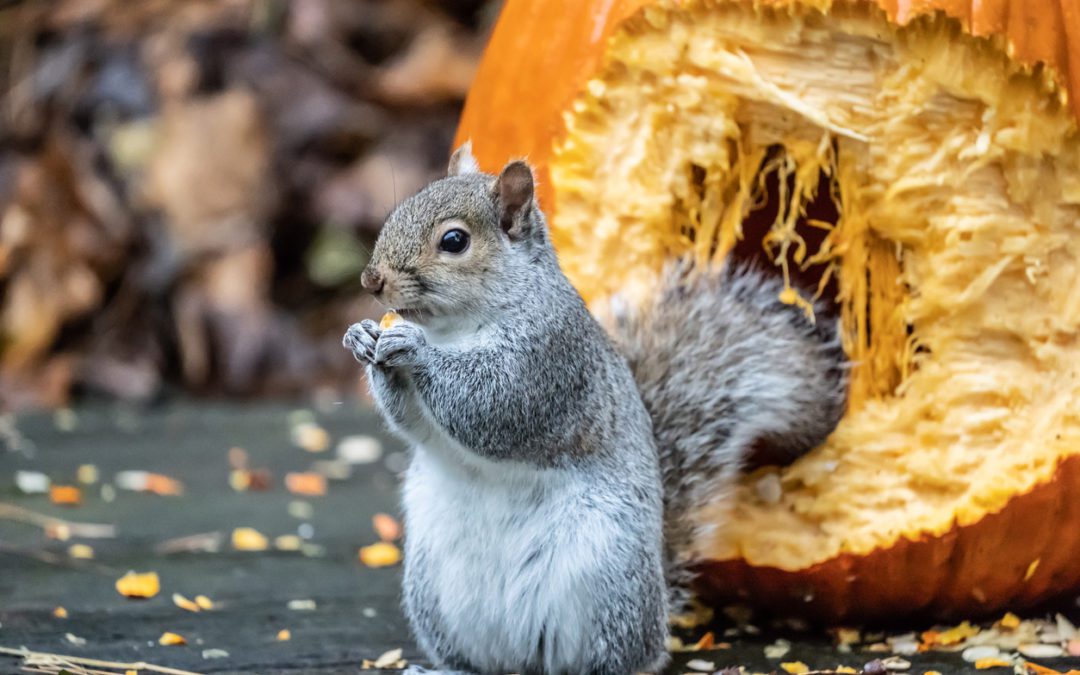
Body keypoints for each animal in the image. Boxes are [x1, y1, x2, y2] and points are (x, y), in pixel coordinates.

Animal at [341, 143, 846, 673]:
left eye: (454, 241)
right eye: (397, 211)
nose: (371, 280)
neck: (457, 328)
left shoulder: (547, 362)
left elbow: (490, 405)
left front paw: (414, 348)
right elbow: (414, 424)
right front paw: (363, 339)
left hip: (603, 576)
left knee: (619, 656)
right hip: (435, 591)